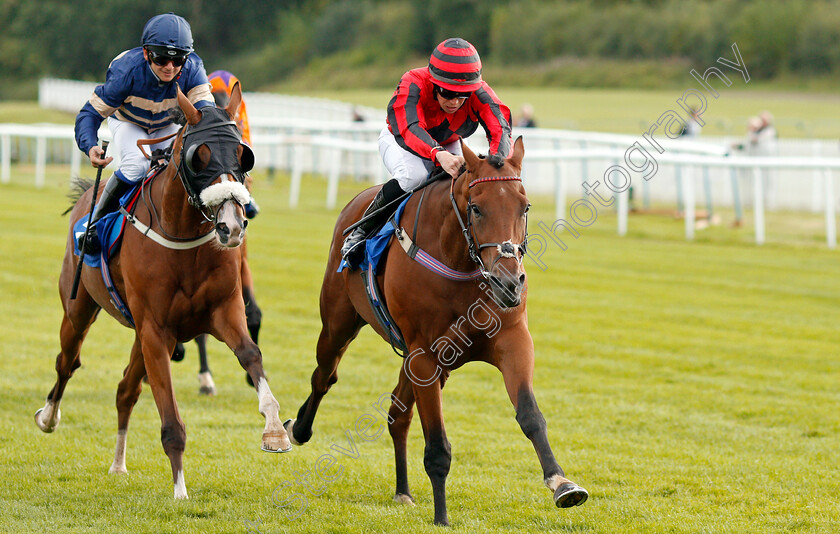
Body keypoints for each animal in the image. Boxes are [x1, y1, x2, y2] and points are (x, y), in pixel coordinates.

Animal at [34, 85, 292, 502]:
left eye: (243, 154)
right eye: (199, 156)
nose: (232, 226)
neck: (183, 237)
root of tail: (89, 194)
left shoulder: (221, 312)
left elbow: (251, 354)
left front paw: (274, 430)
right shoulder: (155, 330)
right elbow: (171, 421)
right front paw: (181, 490)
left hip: (142, 336)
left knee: (125, 390)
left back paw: (118, 464)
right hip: (79, 311)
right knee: (67, 361)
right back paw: (48, 416)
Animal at [286, 138, 588, 528]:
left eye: (525, 207)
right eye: (476, 208)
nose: (509, 282)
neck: (460, 262)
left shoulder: (512, 341)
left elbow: (531, 416)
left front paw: (562, 483)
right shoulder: (424, 355)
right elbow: (437, 445)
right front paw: (442, 517)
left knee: (397, 415)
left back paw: (402, 490)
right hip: (339, 323)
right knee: (324, 376)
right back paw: (297, 429)